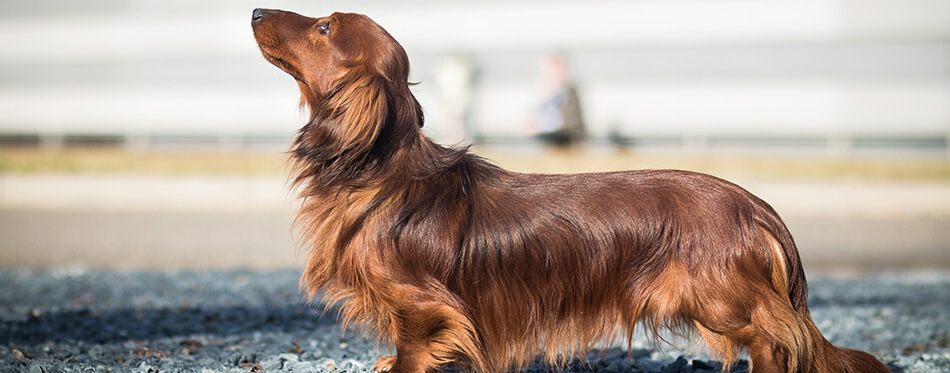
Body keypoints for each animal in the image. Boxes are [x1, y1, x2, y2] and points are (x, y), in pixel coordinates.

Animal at [251, 8, 892, 372]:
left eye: (324, 27)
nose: (255, 9)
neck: (383, 173)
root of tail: (757, 207)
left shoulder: (426, 311)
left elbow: (413, 352)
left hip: (722, 297)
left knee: (778, 342)